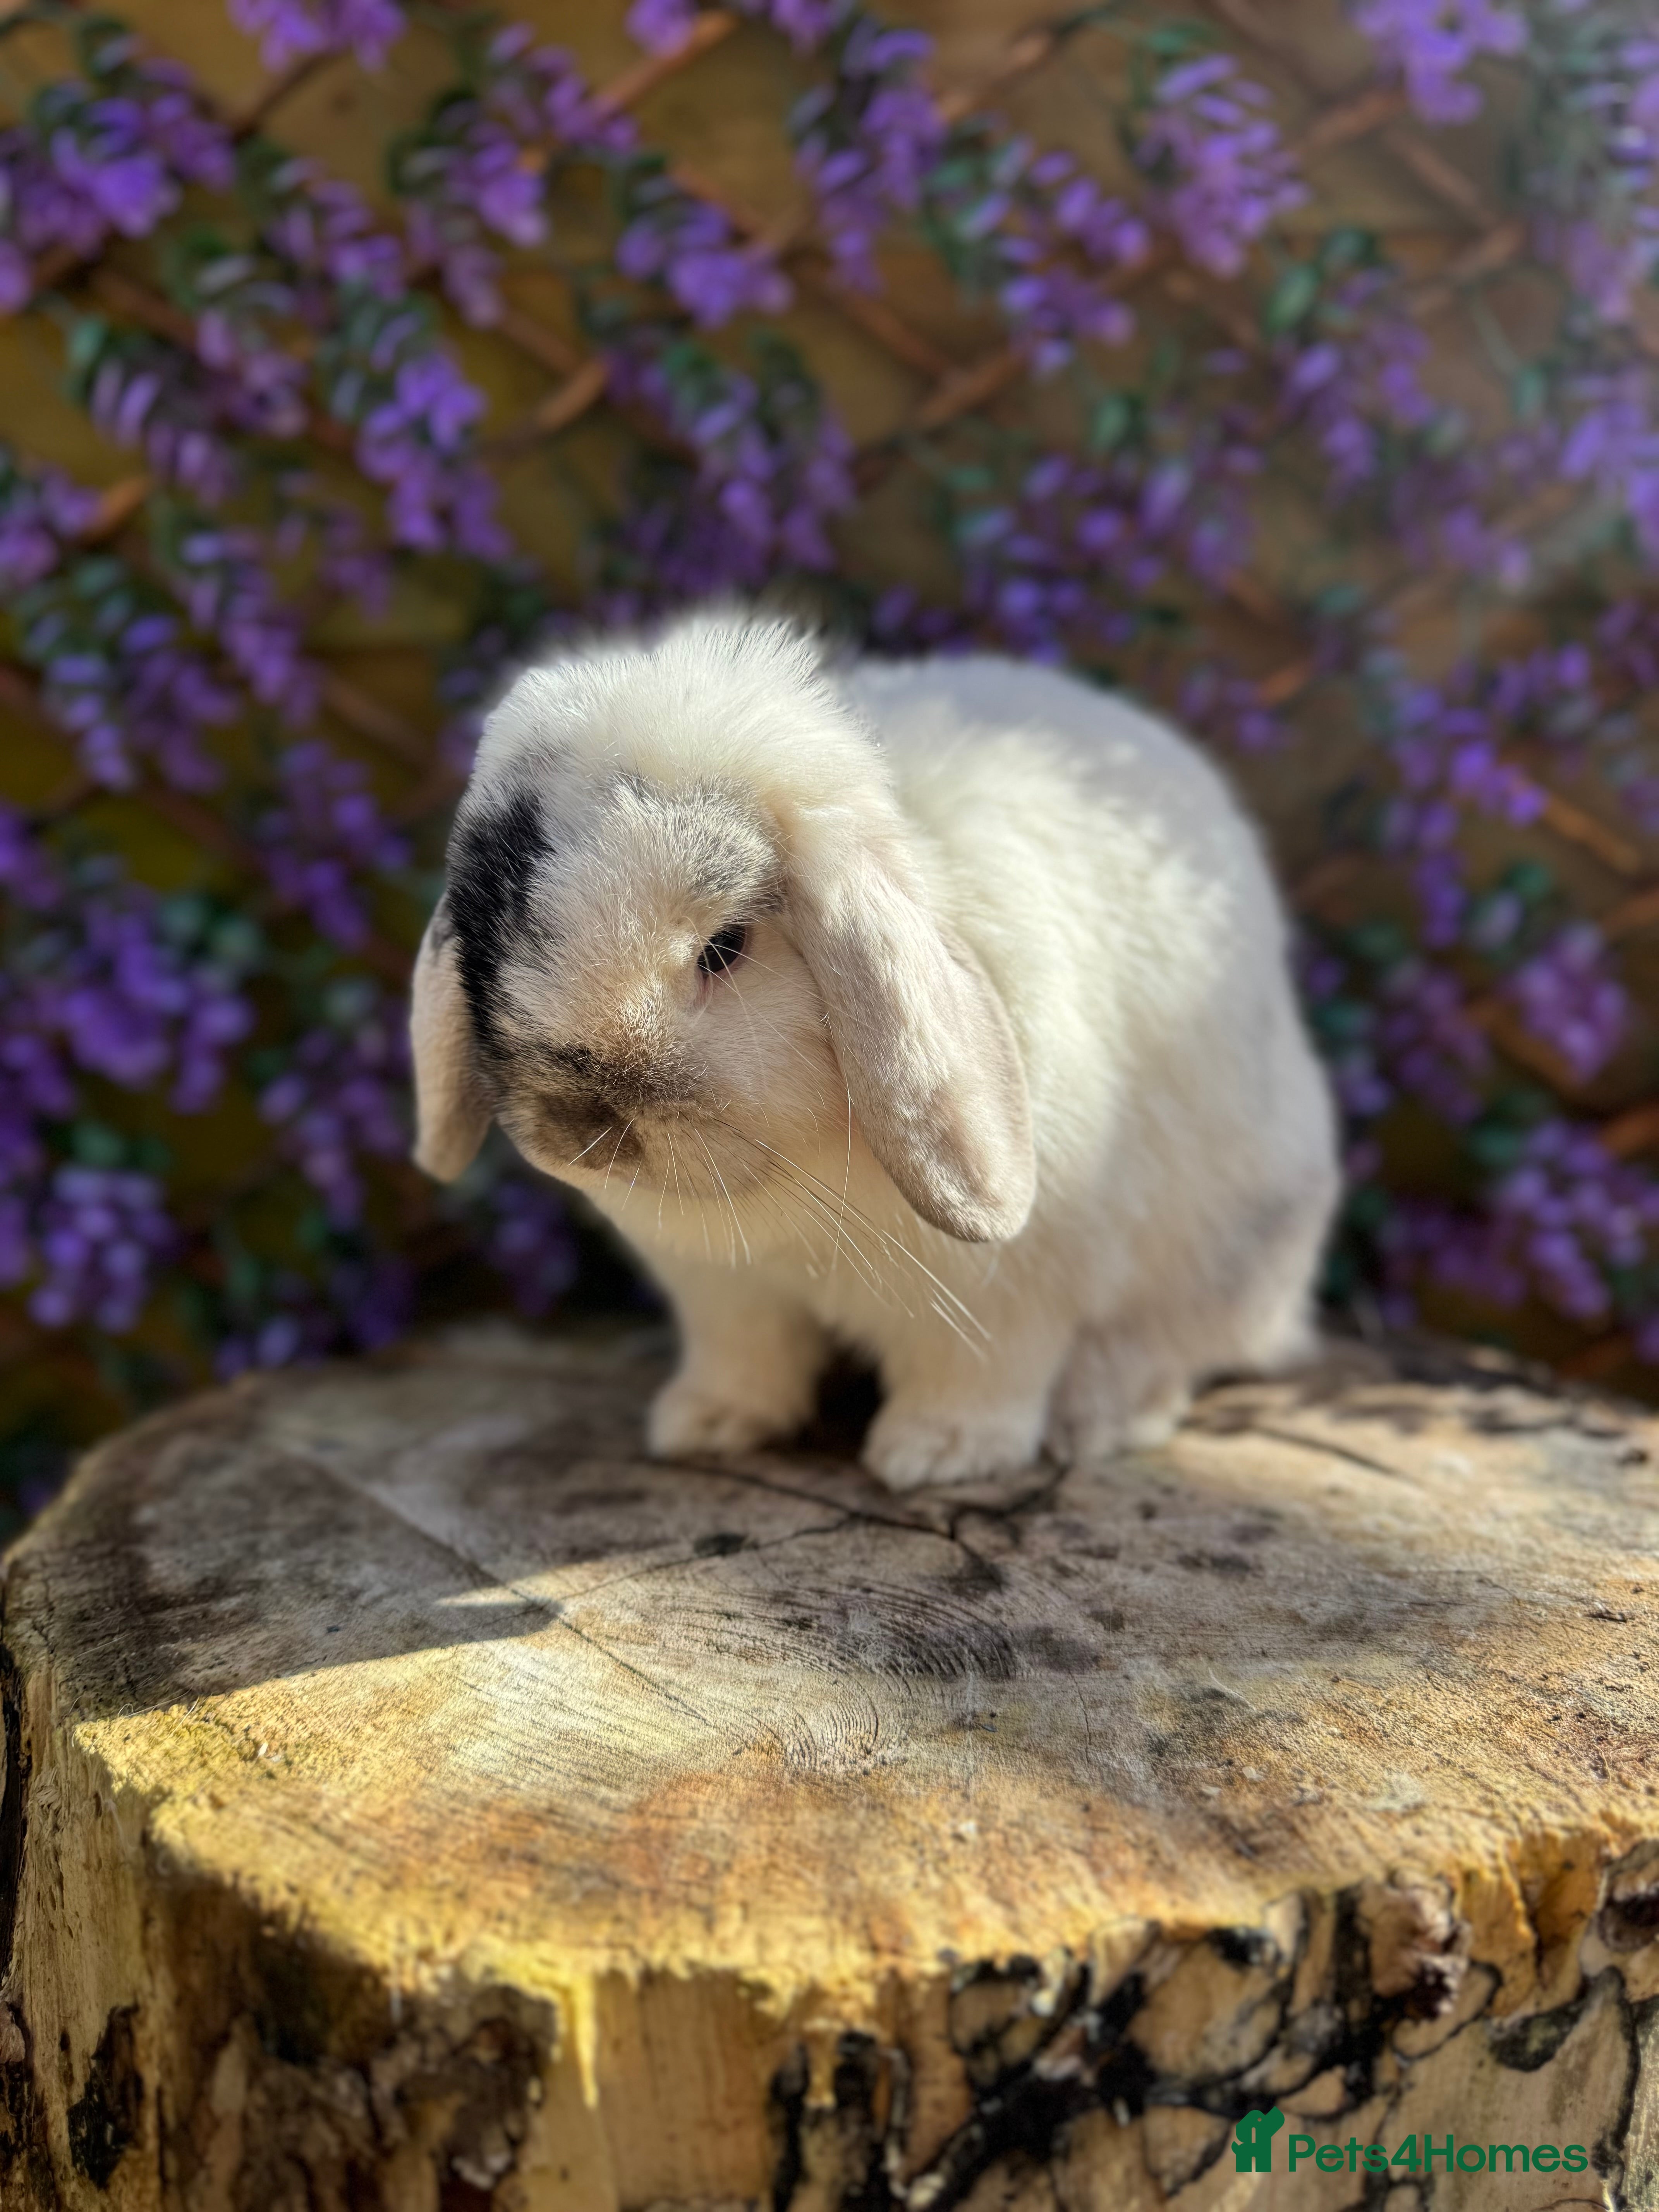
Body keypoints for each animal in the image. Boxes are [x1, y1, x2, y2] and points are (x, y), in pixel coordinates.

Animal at [409, 605, 1340, 1492]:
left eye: (725, 947)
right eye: (488, 940)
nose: (579, 1125)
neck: (793, 1175)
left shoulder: (1007, 1297)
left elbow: (979, 1378)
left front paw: (937, 1457)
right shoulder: (725, 1292)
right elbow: (743, 1357)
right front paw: (703, 1426)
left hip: (1233, 1242)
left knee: (1171, 1344)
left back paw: (1103, 1419)